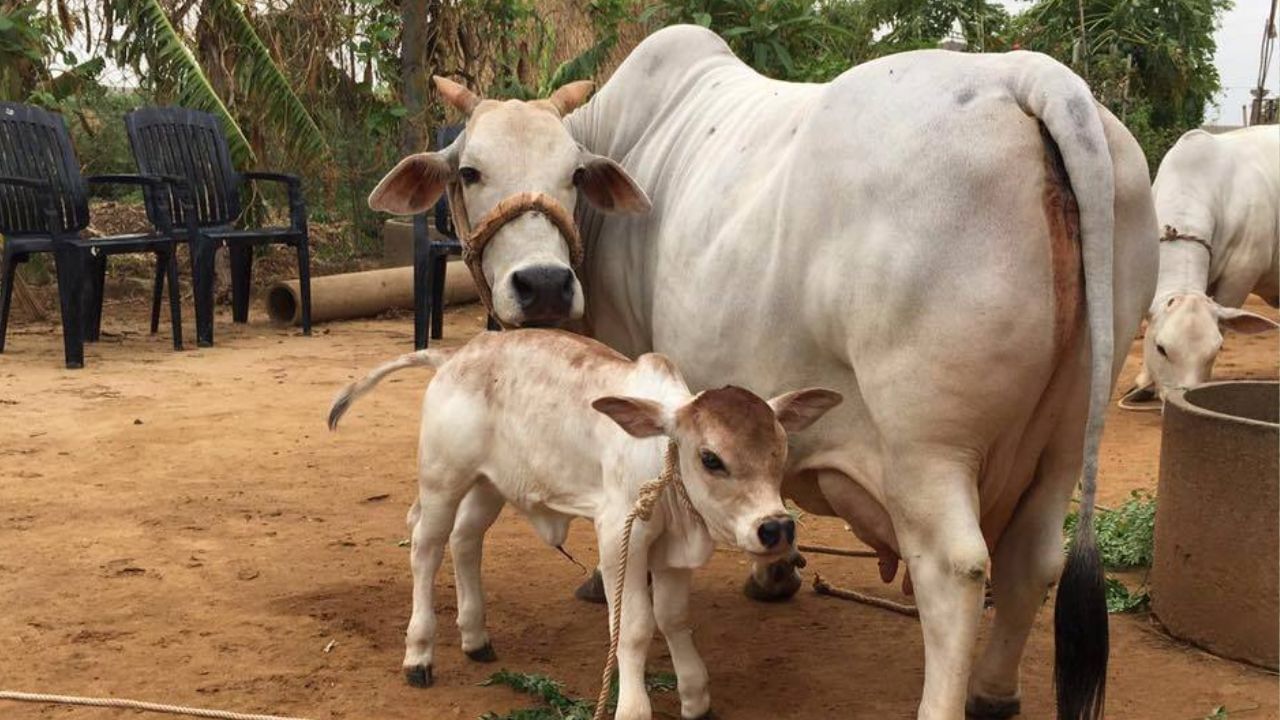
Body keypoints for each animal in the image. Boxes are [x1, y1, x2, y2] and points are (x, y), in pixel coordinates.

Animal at [327, 330, 839, 717]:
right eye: (711, 458)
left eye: (781, 450)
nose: (776, 528)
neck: (658, 456)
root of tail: (455, 355)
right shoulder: (619, 538)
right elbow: (634, 627)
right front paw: (633, 708)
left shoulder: (672, 555)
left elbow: (674, 618)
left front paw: (695, 697)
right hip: (442, 480)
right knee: (426, 548)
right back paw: (419, 654)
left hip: (488, 486)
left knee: (465, 540)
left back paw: (475, 637)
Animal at [373, 25, 1162, 712]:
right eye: (470, 170)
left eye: (572, 174)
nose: (542, 284)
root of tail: (1033, 78)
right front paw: (774, 570)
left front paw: (606, 582)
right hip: (1065, 440)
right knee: (1035, 561)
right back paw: (995, 692)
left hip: (928, 446)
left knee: (955, 571)